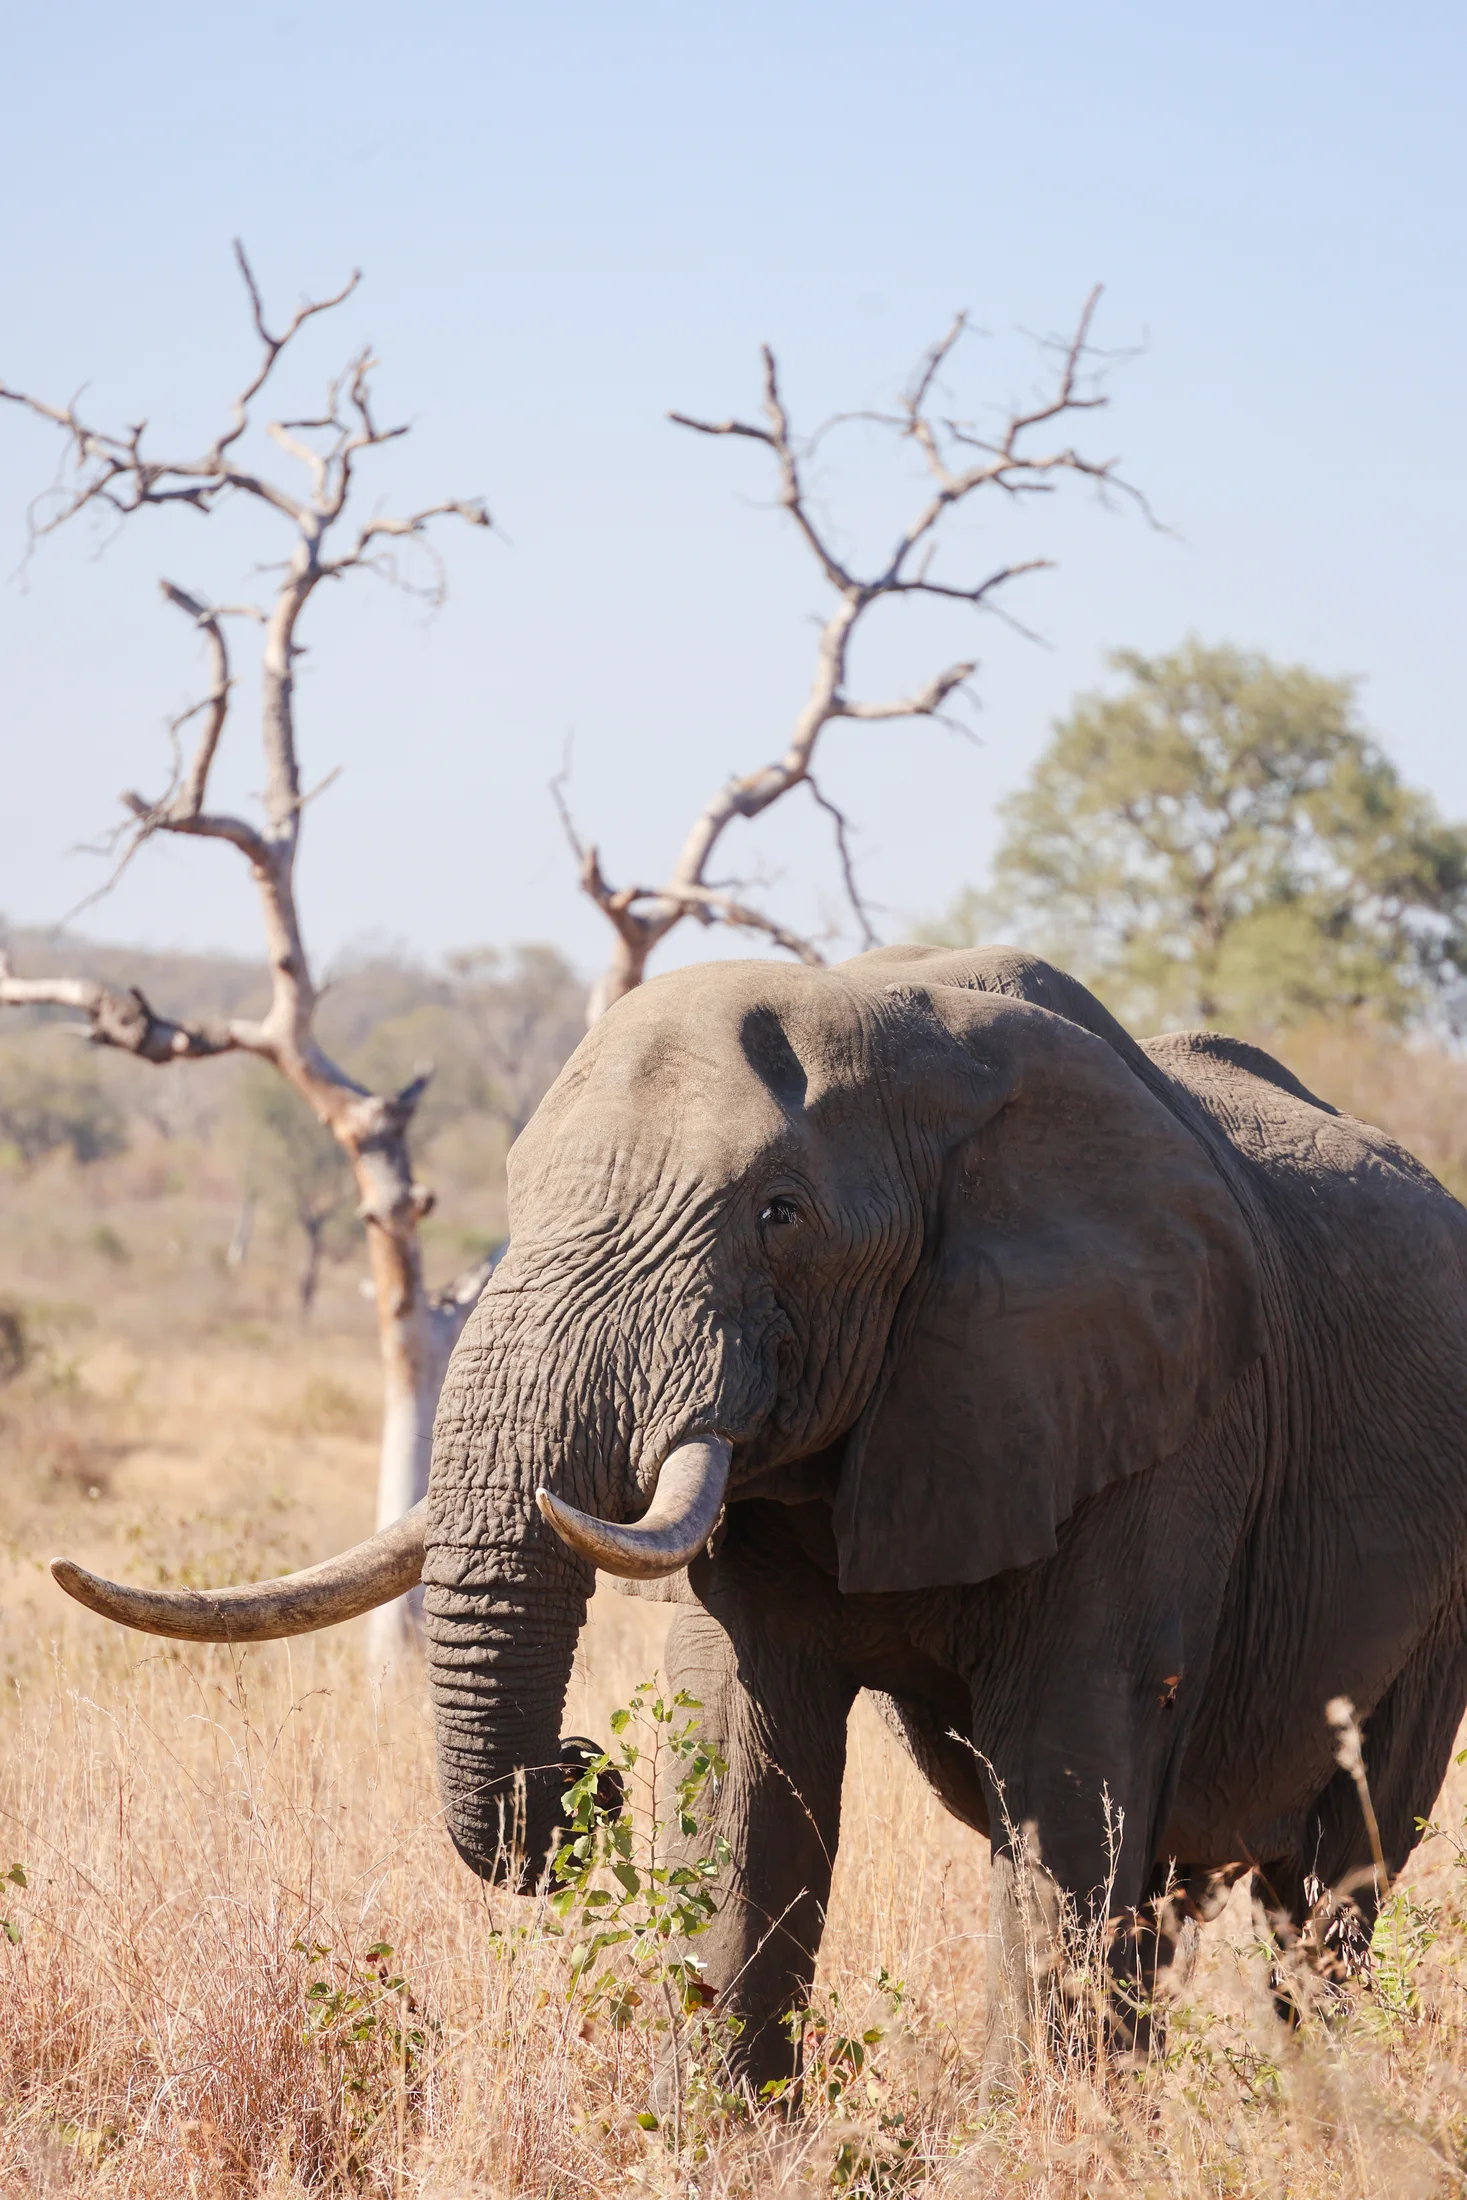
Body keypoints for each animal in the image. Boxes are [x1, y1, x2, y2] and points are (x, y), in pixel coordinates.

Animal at [54, 943, 1467, 2092]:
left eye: (778, 1215)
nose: (580, 1773)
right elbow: (742, 1744)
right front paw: (725, 2133)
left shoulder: (1163, 1410)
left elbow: (1069, 1758)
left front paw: (1040, 2138)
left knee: (1331, 1884)